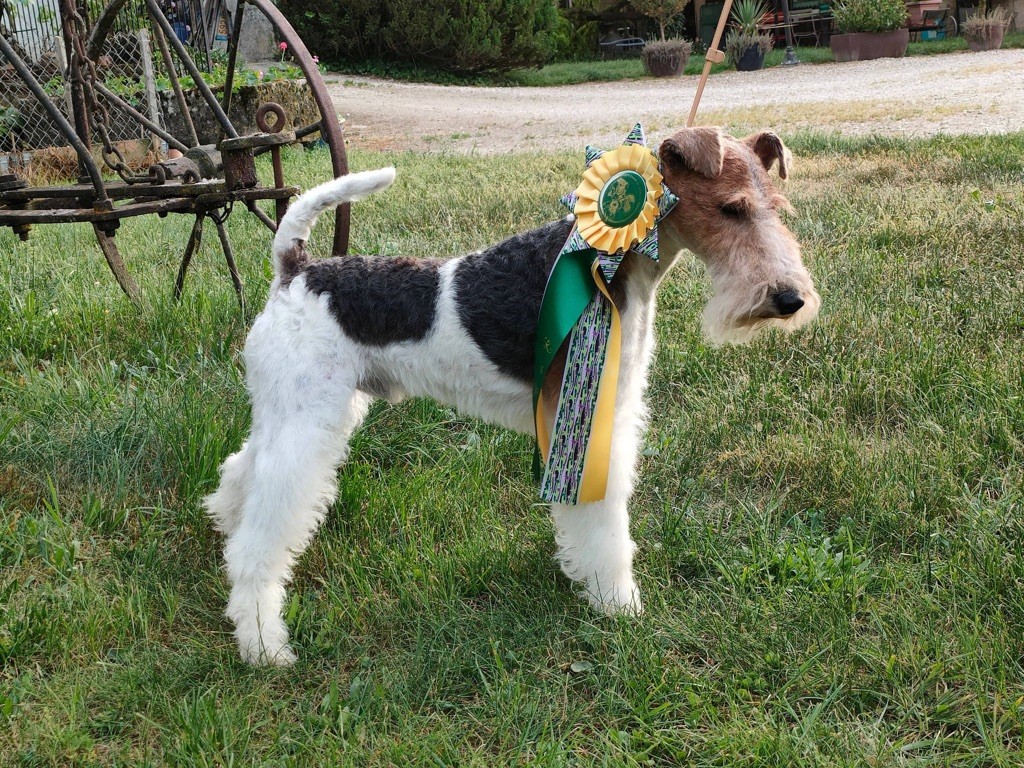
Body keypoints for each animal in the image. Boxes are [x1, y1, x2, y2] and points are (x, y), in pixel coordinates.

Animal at [203, 128, 819, 667]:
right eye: (732, 209)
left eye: (777, 206)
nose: (789, 299)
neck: (614, 262)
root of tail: (294, 271)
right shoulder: (588, 417)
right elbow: (606, 525)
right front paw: (618, 605)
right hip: (307, 421)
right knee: (260, 540)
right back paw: (264, 645)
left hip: (295, 409)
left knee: (241, 469)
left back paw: (225, 522)